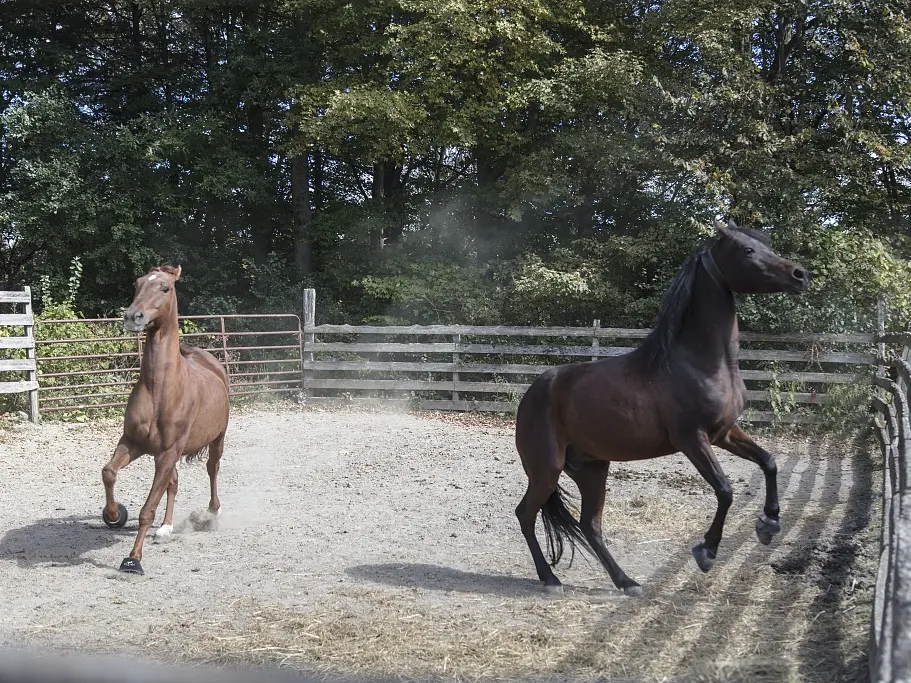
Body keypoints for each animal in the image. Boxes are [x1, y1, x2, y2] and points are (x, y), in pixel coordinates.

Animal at [101, 264, 230, 576]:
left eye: (165, 288)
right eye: (137, 284)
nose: (132, 316)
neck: (161, 388)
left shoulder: (168, 451)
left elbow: (147, 509)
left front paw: (133, 559)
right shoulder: (134, 443)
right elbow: (109, 472)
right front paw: (113, 514)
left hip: (216, 439)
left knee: (212, 469)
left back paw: (213, 510)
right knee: (173, 482)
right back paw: (166, 528)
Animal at [516, 222, 808, 596]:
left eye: (766, 245)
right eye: (747, 250)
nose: (799, 274)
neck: (700, 363)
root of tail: (531, 394)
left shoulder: (724, 433)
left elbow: (769, 462)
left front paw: (769, 524)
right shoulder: (692, 439)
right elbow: (725, 491)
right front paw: (706, 551)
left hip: (591, 469)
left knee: (589, 525)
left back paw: (626, 582)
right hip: (546, 470)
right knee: (526, 515)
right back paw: (551, 579)